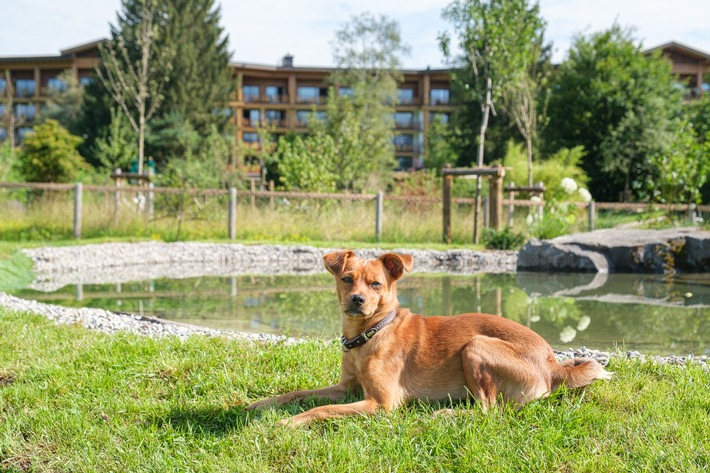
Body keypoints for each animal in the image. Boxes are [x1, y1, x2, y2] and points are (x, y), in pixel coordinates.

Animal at [246, 249, 612, 426]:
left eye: (376, 284)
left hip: (477, 346)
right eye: (347, 279)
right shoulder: (346, 388)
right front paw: (261, 404)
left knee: (490, 410)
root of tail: (555, 366)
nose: (357, 300)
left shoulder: (381, 403)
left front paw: (289, 423)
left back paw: (447, 414)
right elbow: (298, 393)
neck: (370, 334)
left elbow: (321, 410)